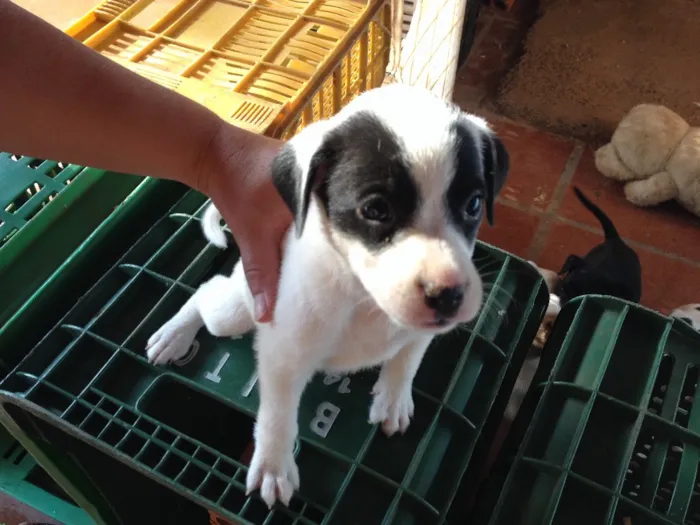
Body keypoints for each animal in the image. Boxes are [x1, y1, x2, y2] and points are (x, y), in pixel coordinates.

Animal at [145, 85, 506, 508]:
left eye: (474, 204)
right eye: (376, 209)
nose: (448, 296)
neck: (364, 299)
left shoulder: (420, 332)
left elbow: (406, 360)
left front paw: (393, 398)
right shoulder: (283, 357)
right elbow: (277, 416)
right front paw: (273, 466)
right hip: (235, 310)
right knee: (204, 292)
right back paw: (174, 334)